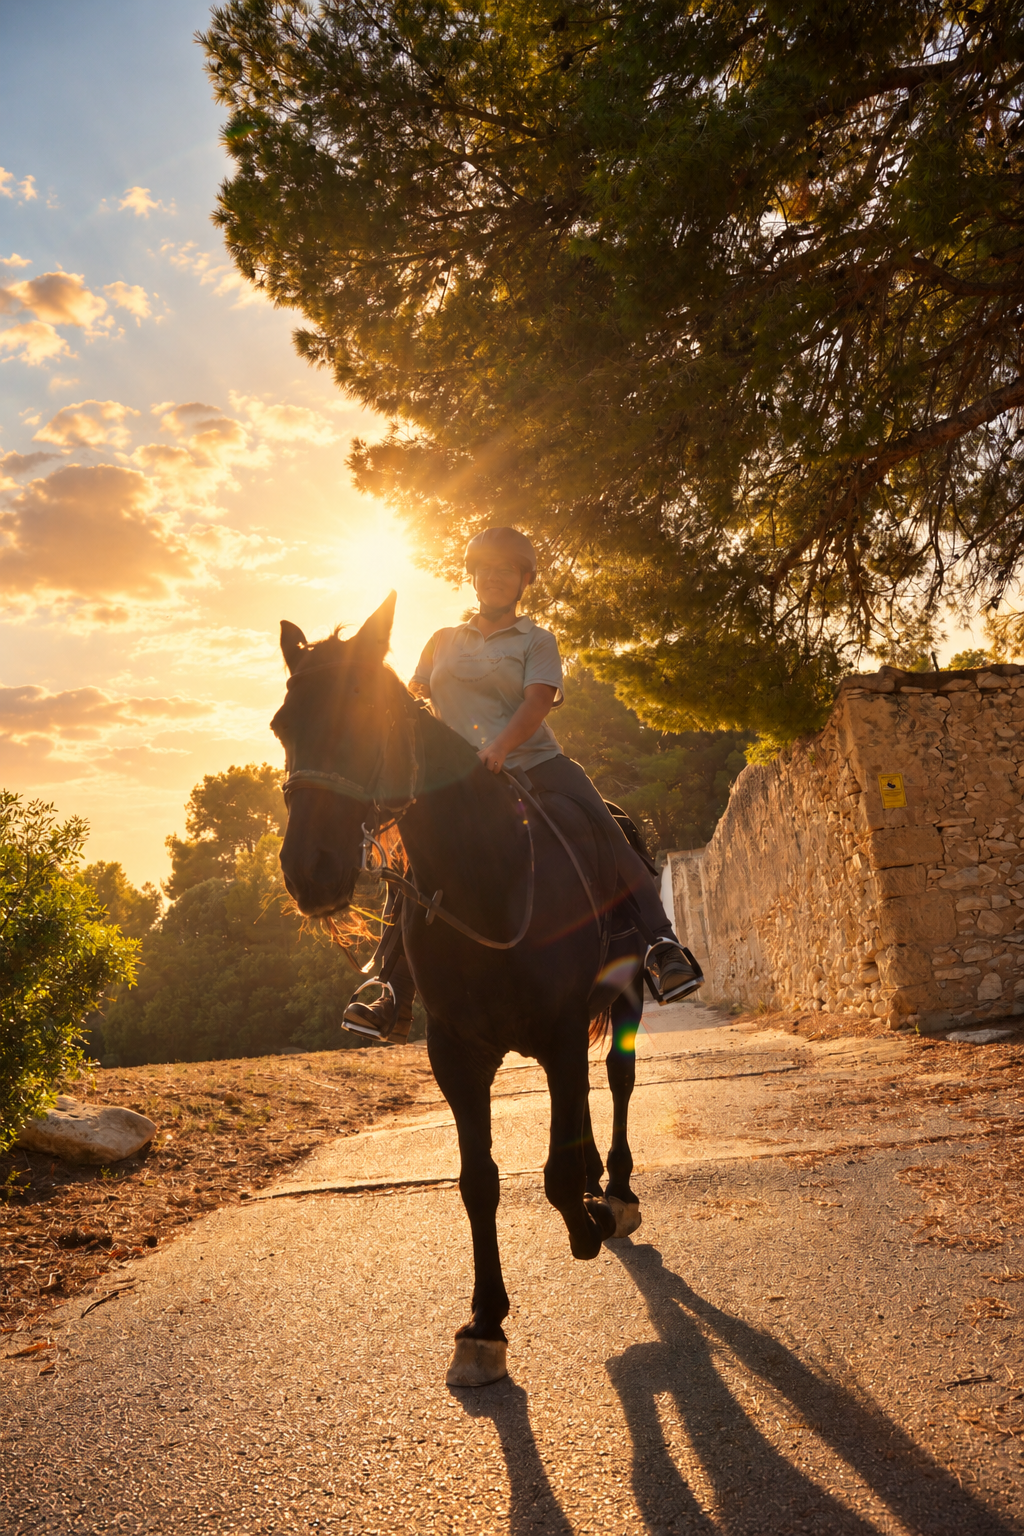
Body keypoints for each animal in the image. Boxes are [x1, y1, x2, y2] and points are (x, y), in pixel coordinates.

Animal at [271, 592, 647, 1387]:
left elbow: (555, 1171)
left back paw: (618, 1194)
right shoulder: (457, 1054)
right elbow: (481, 1181)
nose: (308, 869)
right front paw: (484, 1324)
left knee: (619, 1081)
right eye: (283, 726)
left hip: (626, 1000)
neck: (488, 878)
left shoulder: (560, 1031)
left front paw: (590, 1219)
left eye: (363, 711)